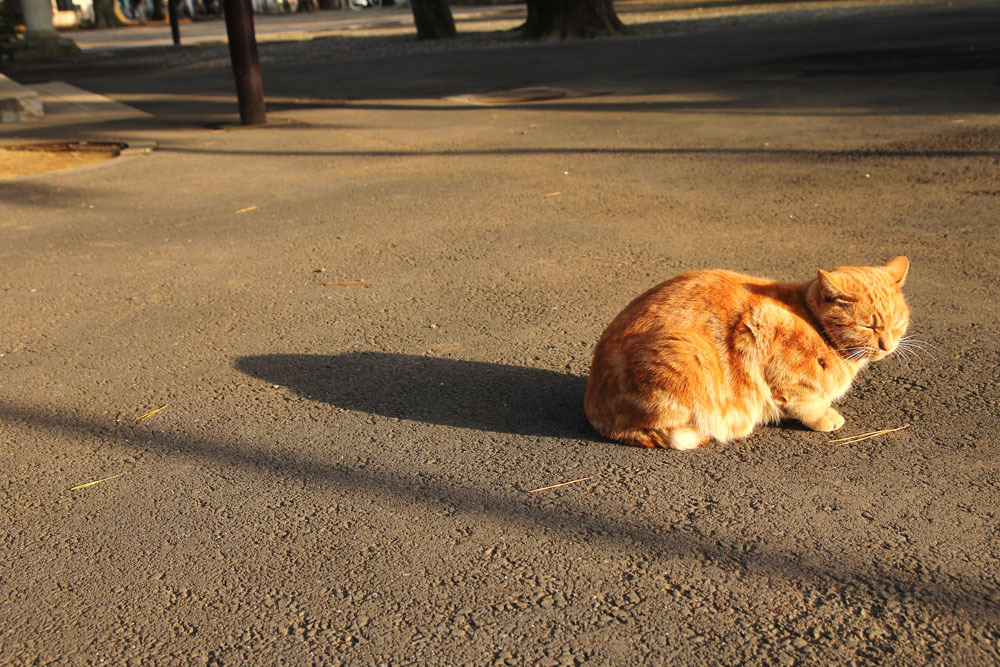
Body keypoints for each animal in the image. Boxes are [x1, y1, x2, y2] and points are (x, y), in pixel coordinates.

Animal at [584, 258, 912, 452]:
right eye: (867, 326)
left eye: (896, 322)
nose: (887, 345)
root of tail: (592, 405)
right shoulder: (764, 328)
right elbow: (805, 401)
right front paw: (824, 416)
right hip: (688, 354)